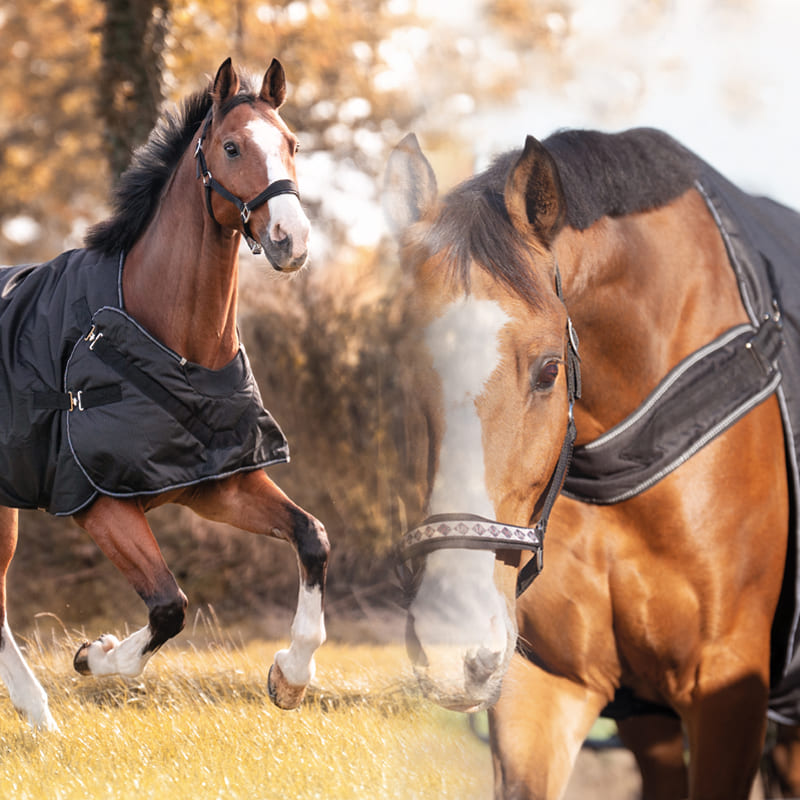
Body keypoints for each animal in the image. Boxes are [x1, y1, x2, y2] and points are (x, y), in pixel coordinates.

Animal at [0, 58, 329, 731]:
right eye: (231, 147)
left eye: (292, 144)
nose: (292, 241)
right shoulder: (100, 504)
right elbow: (169, 606)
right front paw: (92, 655)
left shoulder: (220, 485)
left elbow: (312, 538)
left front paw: (290, 676)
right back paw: (40, 712)